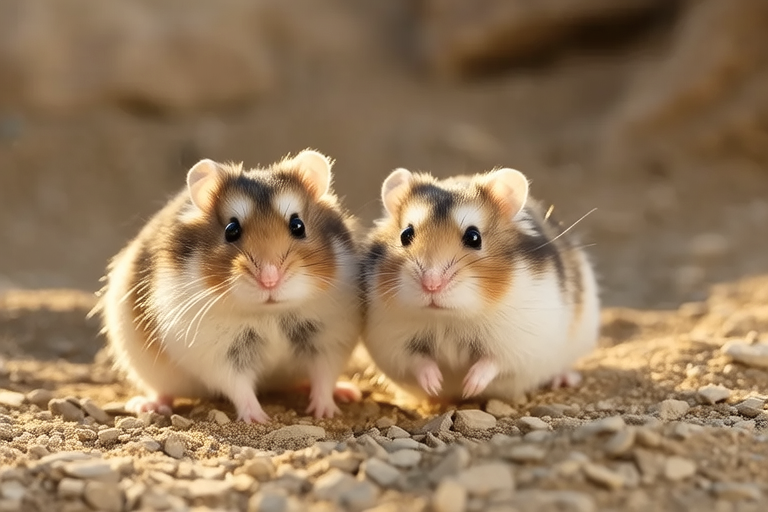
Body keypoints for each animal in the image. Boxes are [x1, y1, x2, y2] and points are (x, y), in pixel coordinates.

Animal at [96, 150, 363, 422]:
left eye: (298, 226)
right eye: (231, 230)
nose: (269, 279)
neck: (270, 314)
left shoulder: (329, 340)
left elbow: (324, 376)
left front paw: (326, 413)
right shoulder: (218, 355)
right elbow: (239, 386)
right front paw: (258, 419)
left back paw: (347, 392)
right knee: (163, 392)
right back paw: (147, 405)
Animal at [360, 167, 600, 402]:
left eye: (474, 237)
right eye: (406, 234)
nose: (432, 284)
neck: (448, 318)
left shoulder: (518, 344)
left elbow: (492, 362)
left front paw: (469, 388)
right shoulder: (394, 345)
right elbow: (418, 362)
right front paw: (435, 386)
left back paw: (564, 379)